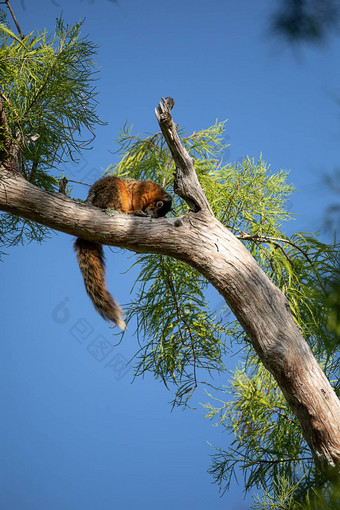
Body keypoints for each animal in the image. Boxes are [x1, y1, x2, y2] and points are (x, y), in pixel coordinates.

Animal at [73, 175, 171, 330]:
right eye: (159, 205)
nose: (152, 215)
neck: (155, 195)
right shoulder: (144, 188)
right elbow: (138, 196)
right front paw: (139, 210)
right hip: (112, 191)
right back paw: (129, 212)